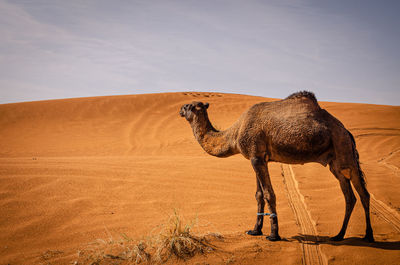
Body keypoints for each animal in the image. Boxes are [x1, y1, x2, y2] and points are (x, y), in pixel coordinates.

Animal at [180, 91, 374, 241]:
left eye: (189, 106)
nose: (180, 109)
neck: (235, 133)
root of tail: (347, 132)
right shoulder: (257, 157)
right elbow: (258, 195)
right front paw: (255, 230)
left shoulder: (257, 157)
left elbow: (269, 194)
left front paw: (274, 235)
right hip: (336, 163)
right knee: (351, 196)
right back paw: (340, 235)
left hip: (344, 153)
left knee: (361, 194)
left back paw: (368, 236)